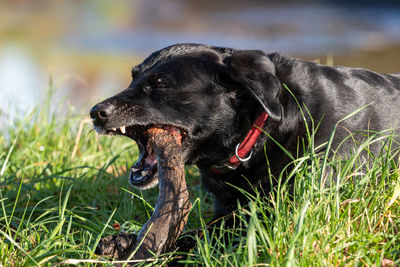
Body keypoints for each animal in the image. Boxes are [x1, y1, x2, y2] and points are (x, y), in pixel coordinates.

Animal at [90, 44, 400, 258]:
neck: (260, 131)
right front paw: (122, 240)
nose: (95, 112)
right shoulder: (227, 211)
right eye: (133, 78)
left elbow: (195, 237)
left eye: (161, 84)